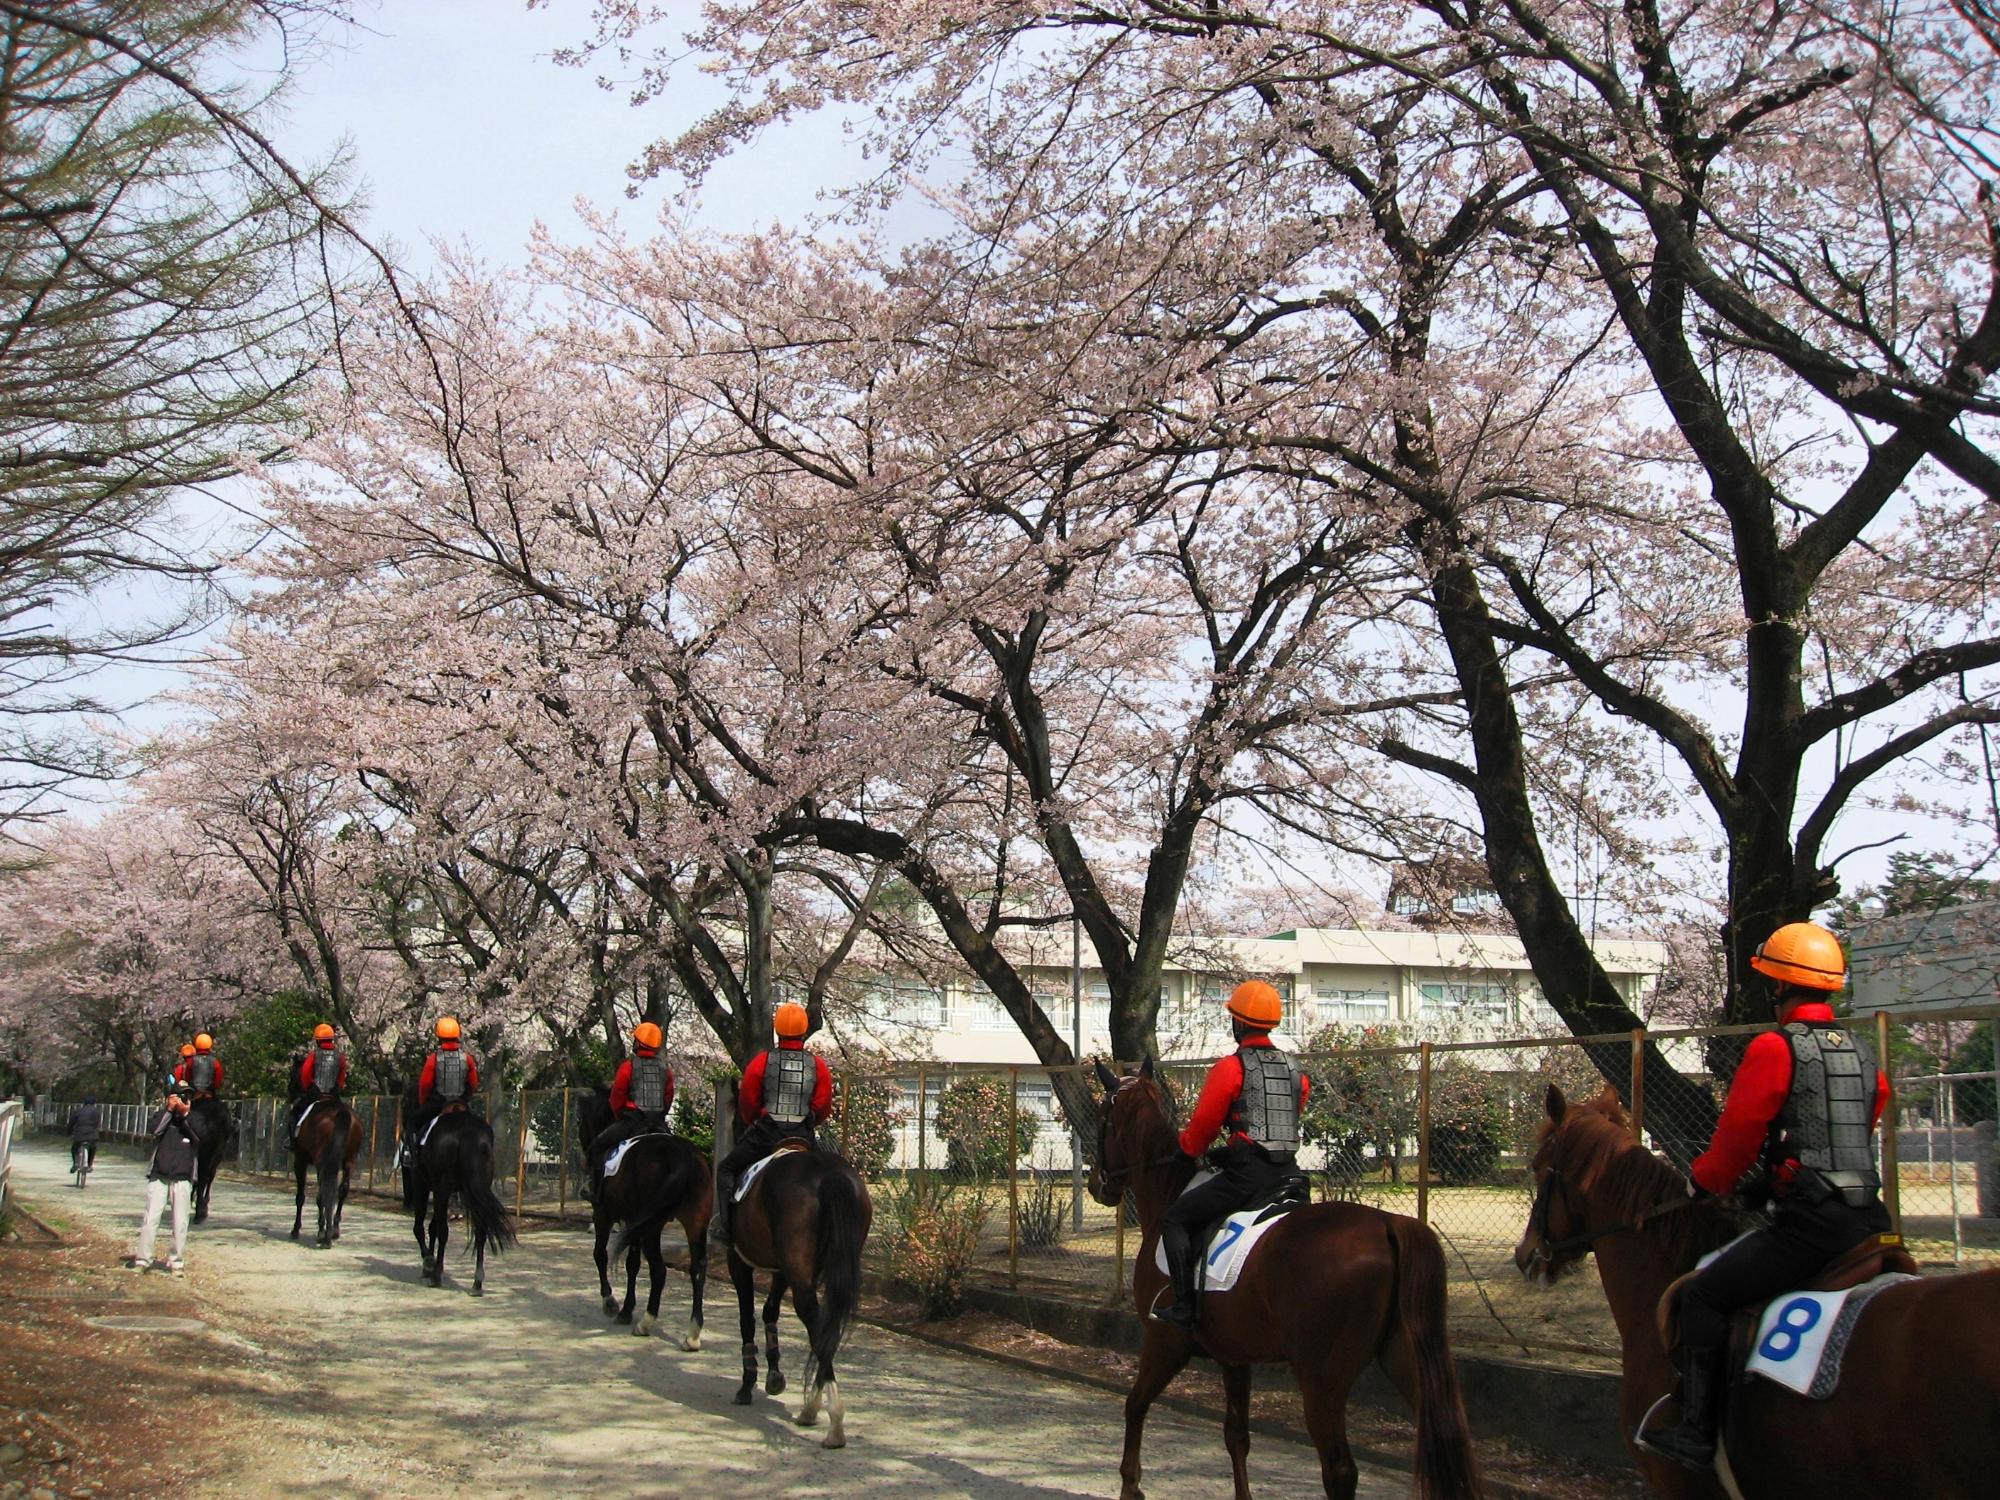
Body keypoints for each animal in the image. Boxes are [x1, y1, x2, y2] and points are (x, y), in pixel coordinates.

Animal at [292, 1096, 362, 1248]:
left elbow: (301, 1197)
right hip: (349, 1160)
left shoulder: (300, 1160)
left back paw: (325, 1235)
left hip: (321, 1162)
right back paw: (333, 1231)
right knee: (342, 1190)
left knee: (323, 1194)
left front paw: (296, 1229)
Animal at [728, 1136, 868, 1448]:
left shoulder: (739, 1263)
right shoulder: (782, 1271)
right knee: (825, 1328)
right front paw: (773, 1376)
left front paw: (747, 1383)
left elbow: (747, 1319)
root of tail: (828, 1173)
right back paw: (813, 1409)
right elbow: (769, 1312)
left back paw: (833, 1423)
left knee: (814, 1322)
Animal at [1088, 1064, 1480, 1500]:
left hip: (1321, 1379)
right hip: (1407, 1361)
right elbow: (1236, 1436)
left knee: (1340, 1471)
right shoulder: (1233, 1356)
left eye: (1101, 1118)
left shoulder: (1164, 1343)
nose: (1096, 1184)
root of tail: (1388, 1224)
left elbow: (1135, 1404)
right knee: (1447, 1444)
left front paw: (1130, 1484)